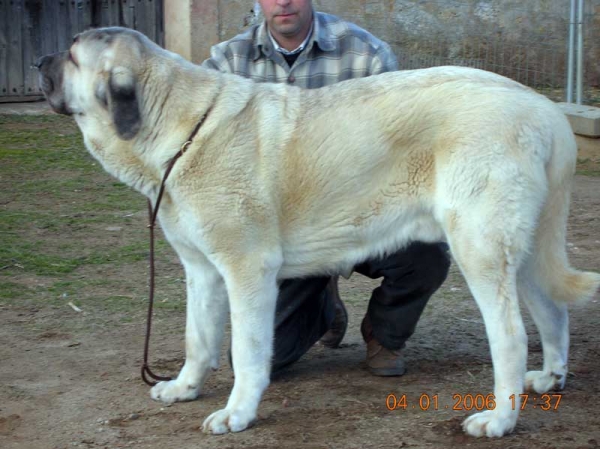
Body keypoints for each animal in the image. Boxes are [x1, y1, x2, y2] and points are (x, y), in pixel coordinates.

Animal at [38, 28, 600, 438]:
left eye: (71, 55)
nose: (39, 62)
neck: (178, 127)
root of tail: (544, 108)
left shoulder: (247, 271)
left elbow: (245, 351)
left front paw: (237, 413)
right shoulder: (202, 272)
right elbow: (198, 339)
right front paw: (184, 387)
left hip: (478, 248)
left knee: (510, 336)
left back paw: (501, 419)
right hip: (524, 252)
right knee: (552, 311)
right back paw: (550, 378)